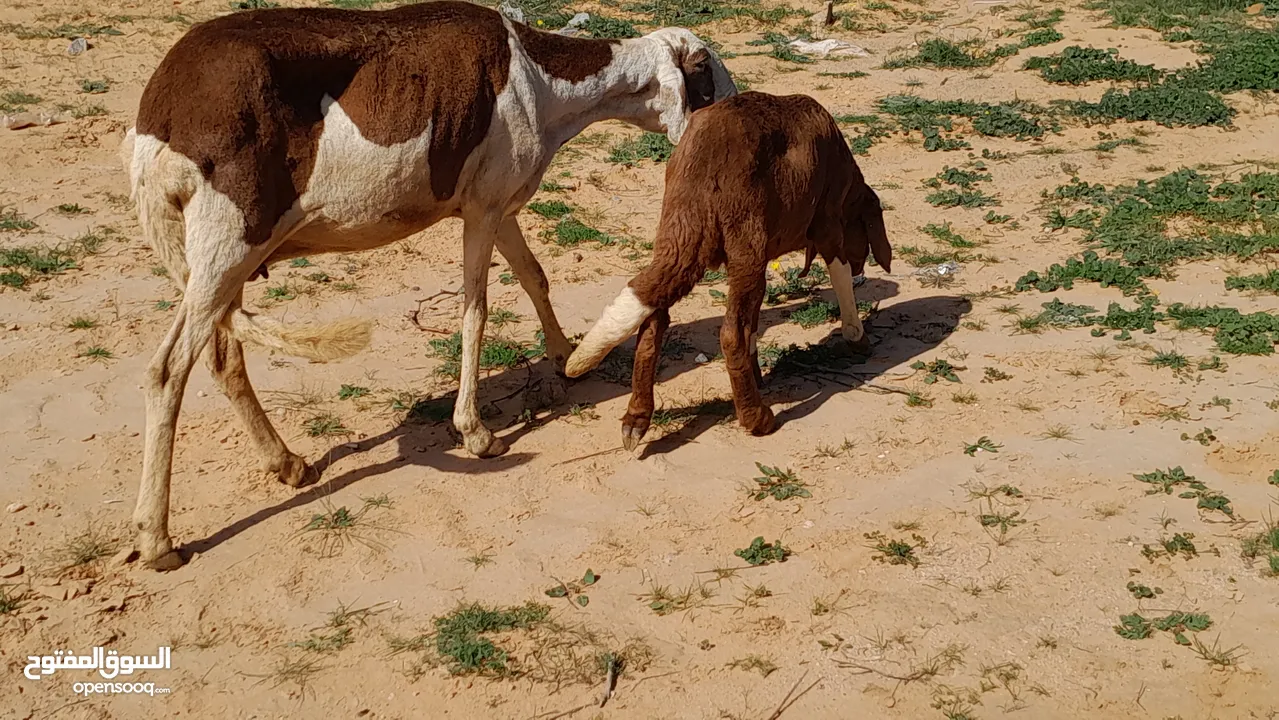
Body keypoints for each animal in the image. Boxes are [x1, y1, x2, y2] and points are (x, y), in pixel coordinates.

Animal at [120, 1, 741, 575]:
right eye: (706, 68)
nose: (740, 110)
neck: (537, 78)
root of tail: (158, 115)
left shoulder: (500, 205)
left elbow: (534, 276)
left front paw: (568, 356)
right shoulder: (483, 209)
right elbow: (476, 311)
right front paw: (477, 433)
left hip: (227, 256)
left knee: (223, 357)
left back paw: (287, 463)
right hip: (230, 238)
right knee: (167, 370)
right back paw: (157, 539)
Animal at [565, 90, 895, 450]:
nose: (864, 267)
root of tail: (704, 158)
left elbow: (753, 316)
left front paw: (757, 375)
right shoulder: (828, 220)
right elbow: (838, 277)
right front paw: (858, 338)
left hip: (677, 233)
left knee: (654, 316)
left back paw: (636, 419)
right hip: (741, 235)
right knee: (729, 333)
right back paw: (757, 419)